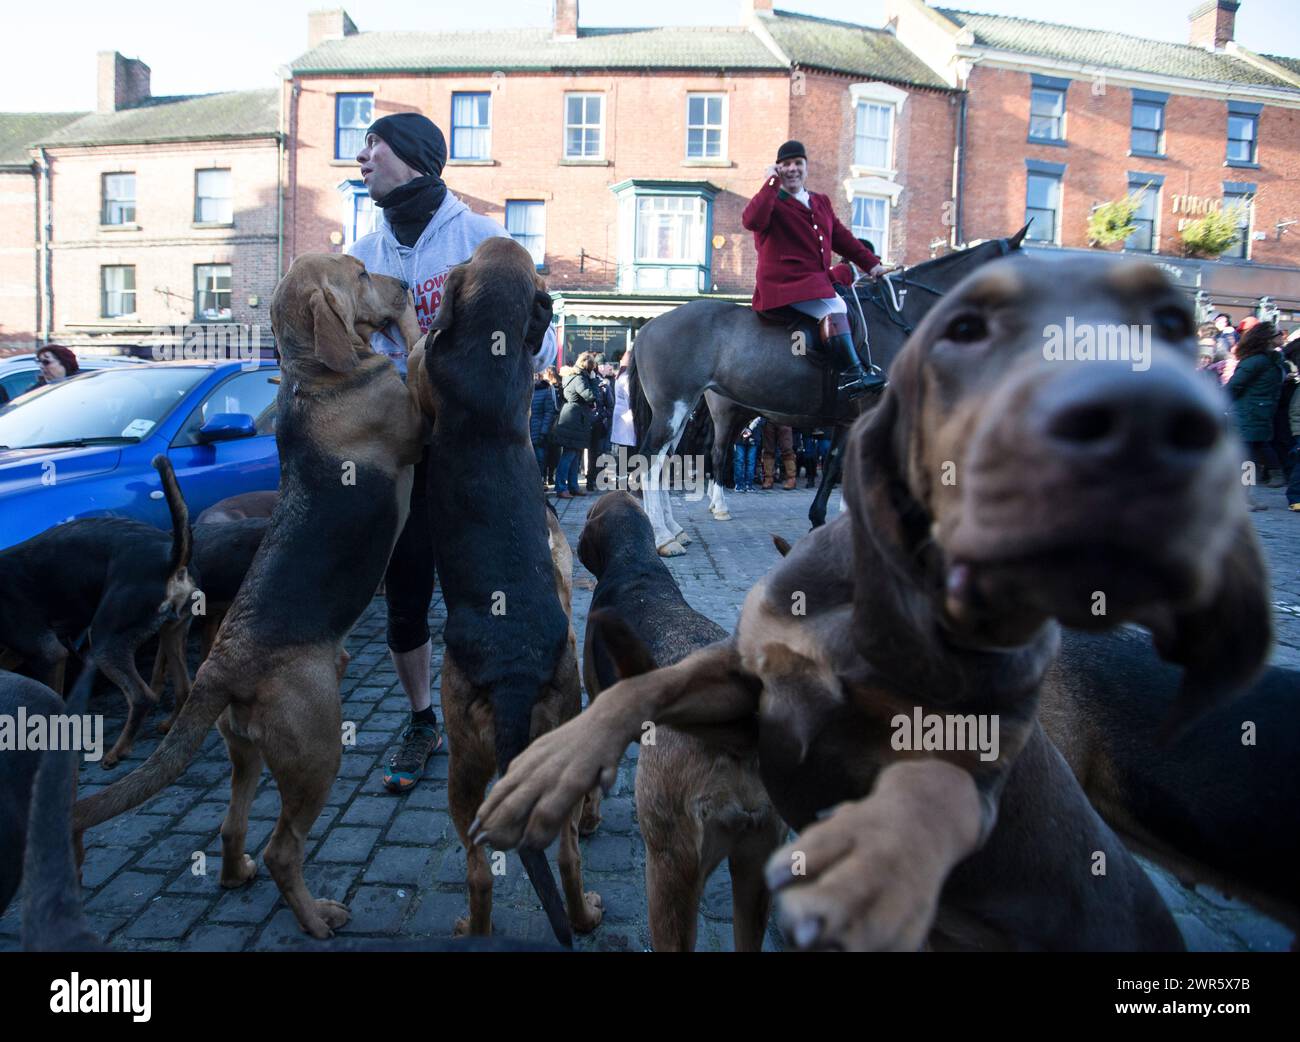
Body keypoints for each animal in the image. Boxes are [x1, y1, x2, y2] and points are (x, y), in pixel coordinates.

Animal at [72, 252, 421, 935]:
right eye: (361, 272)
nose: (400, 280)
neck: (315, 373)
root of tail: (222, 670)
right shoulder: (419, 410)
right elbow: (421, 350)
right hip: (317, 754)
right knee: (283, 848)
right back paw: (316, 917)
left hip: (246, 752)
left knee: (232, 829)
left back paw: (238, 876)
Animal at [624, 227, 1029, 550]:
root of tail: (650, 325)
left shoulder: (848, 420)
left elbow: (837, 466)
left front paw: (825, 520)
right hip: (680, 408)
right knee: (656, 460)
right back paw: (664, 537)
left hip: (682, 411)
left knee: (667, 461)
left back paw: (675, 528)